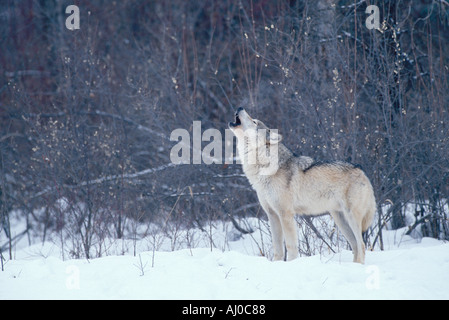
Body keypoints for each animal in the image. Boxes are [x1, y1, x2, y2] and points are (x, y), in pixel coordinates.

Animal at [228, 107, 374, 262]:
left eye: (254, 121)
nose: (240, 108)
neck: (263, 167)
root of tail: (361, 170)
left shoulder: (285, 214)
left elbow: (290, 246)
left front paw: (292, 263)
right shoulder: (272, 215)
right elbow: (277, 248)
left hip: (351, 217)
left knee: (361, 245)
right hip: (340, 219)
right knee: (355, 245)